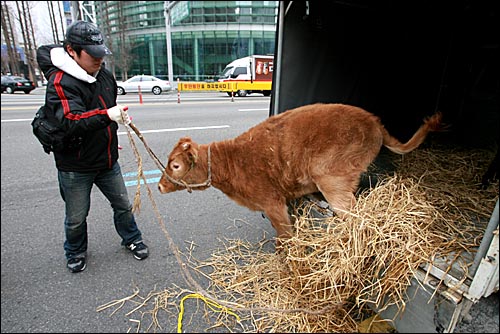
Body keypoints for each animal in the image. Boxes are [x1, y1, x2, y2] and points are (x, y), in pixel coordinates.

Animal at [157, 102, 442, 245]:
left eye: (175, 165)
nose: (159, 187)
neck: (232, 162)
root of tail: (374, 122)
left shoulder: (272, 203)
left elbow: (284, 234)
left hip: (333, 179)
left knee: (356, 216)